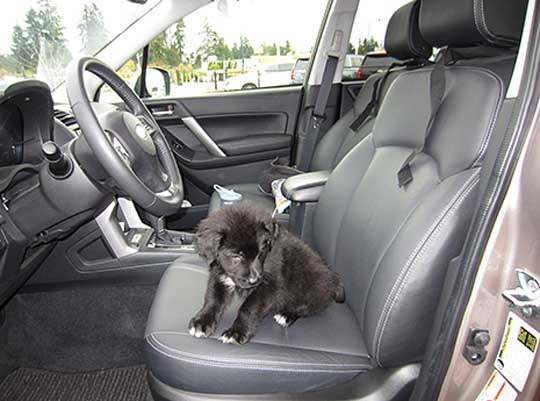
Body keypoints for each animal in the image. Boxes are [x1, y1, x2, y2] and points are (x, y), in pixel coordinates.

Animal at [188, 203, 344, 344]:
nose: (255, 280)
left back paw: (286, 315)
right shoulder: (219, 275)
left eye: (261, 251)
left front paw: (237, 332)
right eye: (236, 256)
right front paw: (202, 322)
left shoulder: (270, 285)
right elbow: (212, 299)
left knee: (305, 308)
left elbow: (249, 307)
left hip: (313, 288)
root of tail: (334, 280)